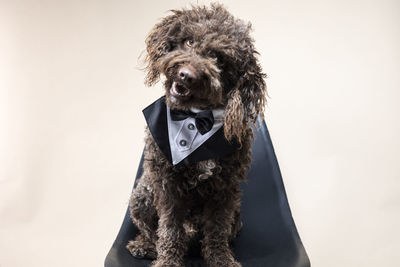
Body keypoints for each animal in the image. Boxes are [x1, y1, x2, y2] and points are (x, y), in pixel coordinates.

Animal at [126, 3, 268, 267]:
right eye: (190, 41)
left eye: (219, 59)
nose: (186, 74)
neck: (196, 117)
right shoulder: (167, 186)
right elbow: (169, 230)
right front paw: (167, 261)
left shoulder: (225, 189)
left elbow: (217, 230)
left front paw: (221, 259)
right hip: (142, 194)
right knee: (150, 230)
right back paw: (145, 246)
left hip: (236, 216)